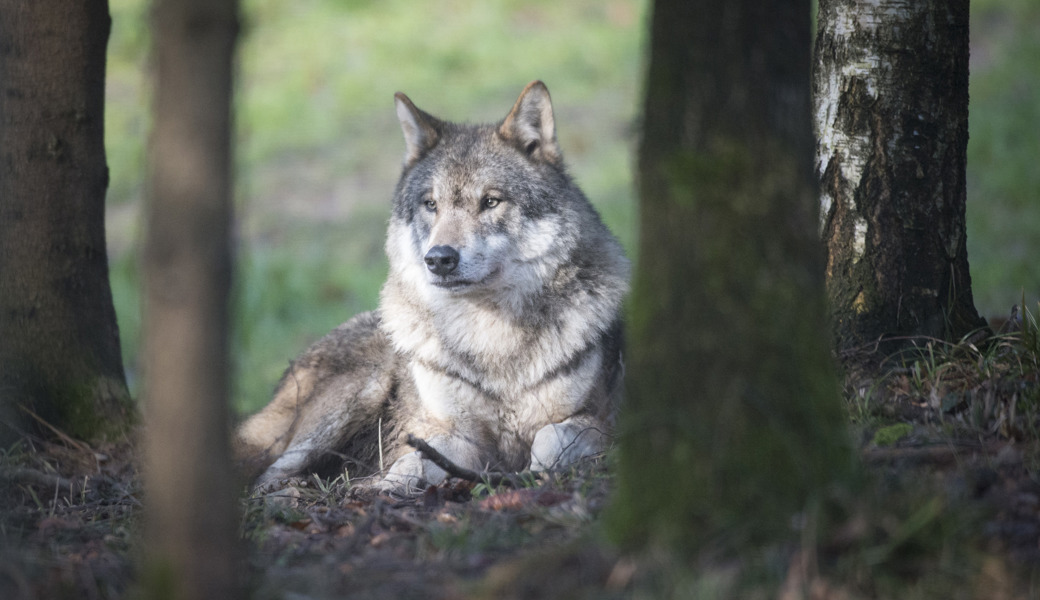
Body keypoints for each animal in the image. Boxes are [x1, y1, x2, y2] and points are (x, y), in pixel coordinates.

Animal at [232, 80, 628, 490]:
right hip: (354, 396)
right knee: (267, 475)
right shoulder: (449, 432)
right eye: (430, 204)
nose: (439, 259)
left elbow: (550, 439)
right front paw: (386, 487)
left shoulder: (598, 423)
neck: (492, 341)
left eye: (491, 202)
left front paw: (531, 475)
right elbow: (412, 463)